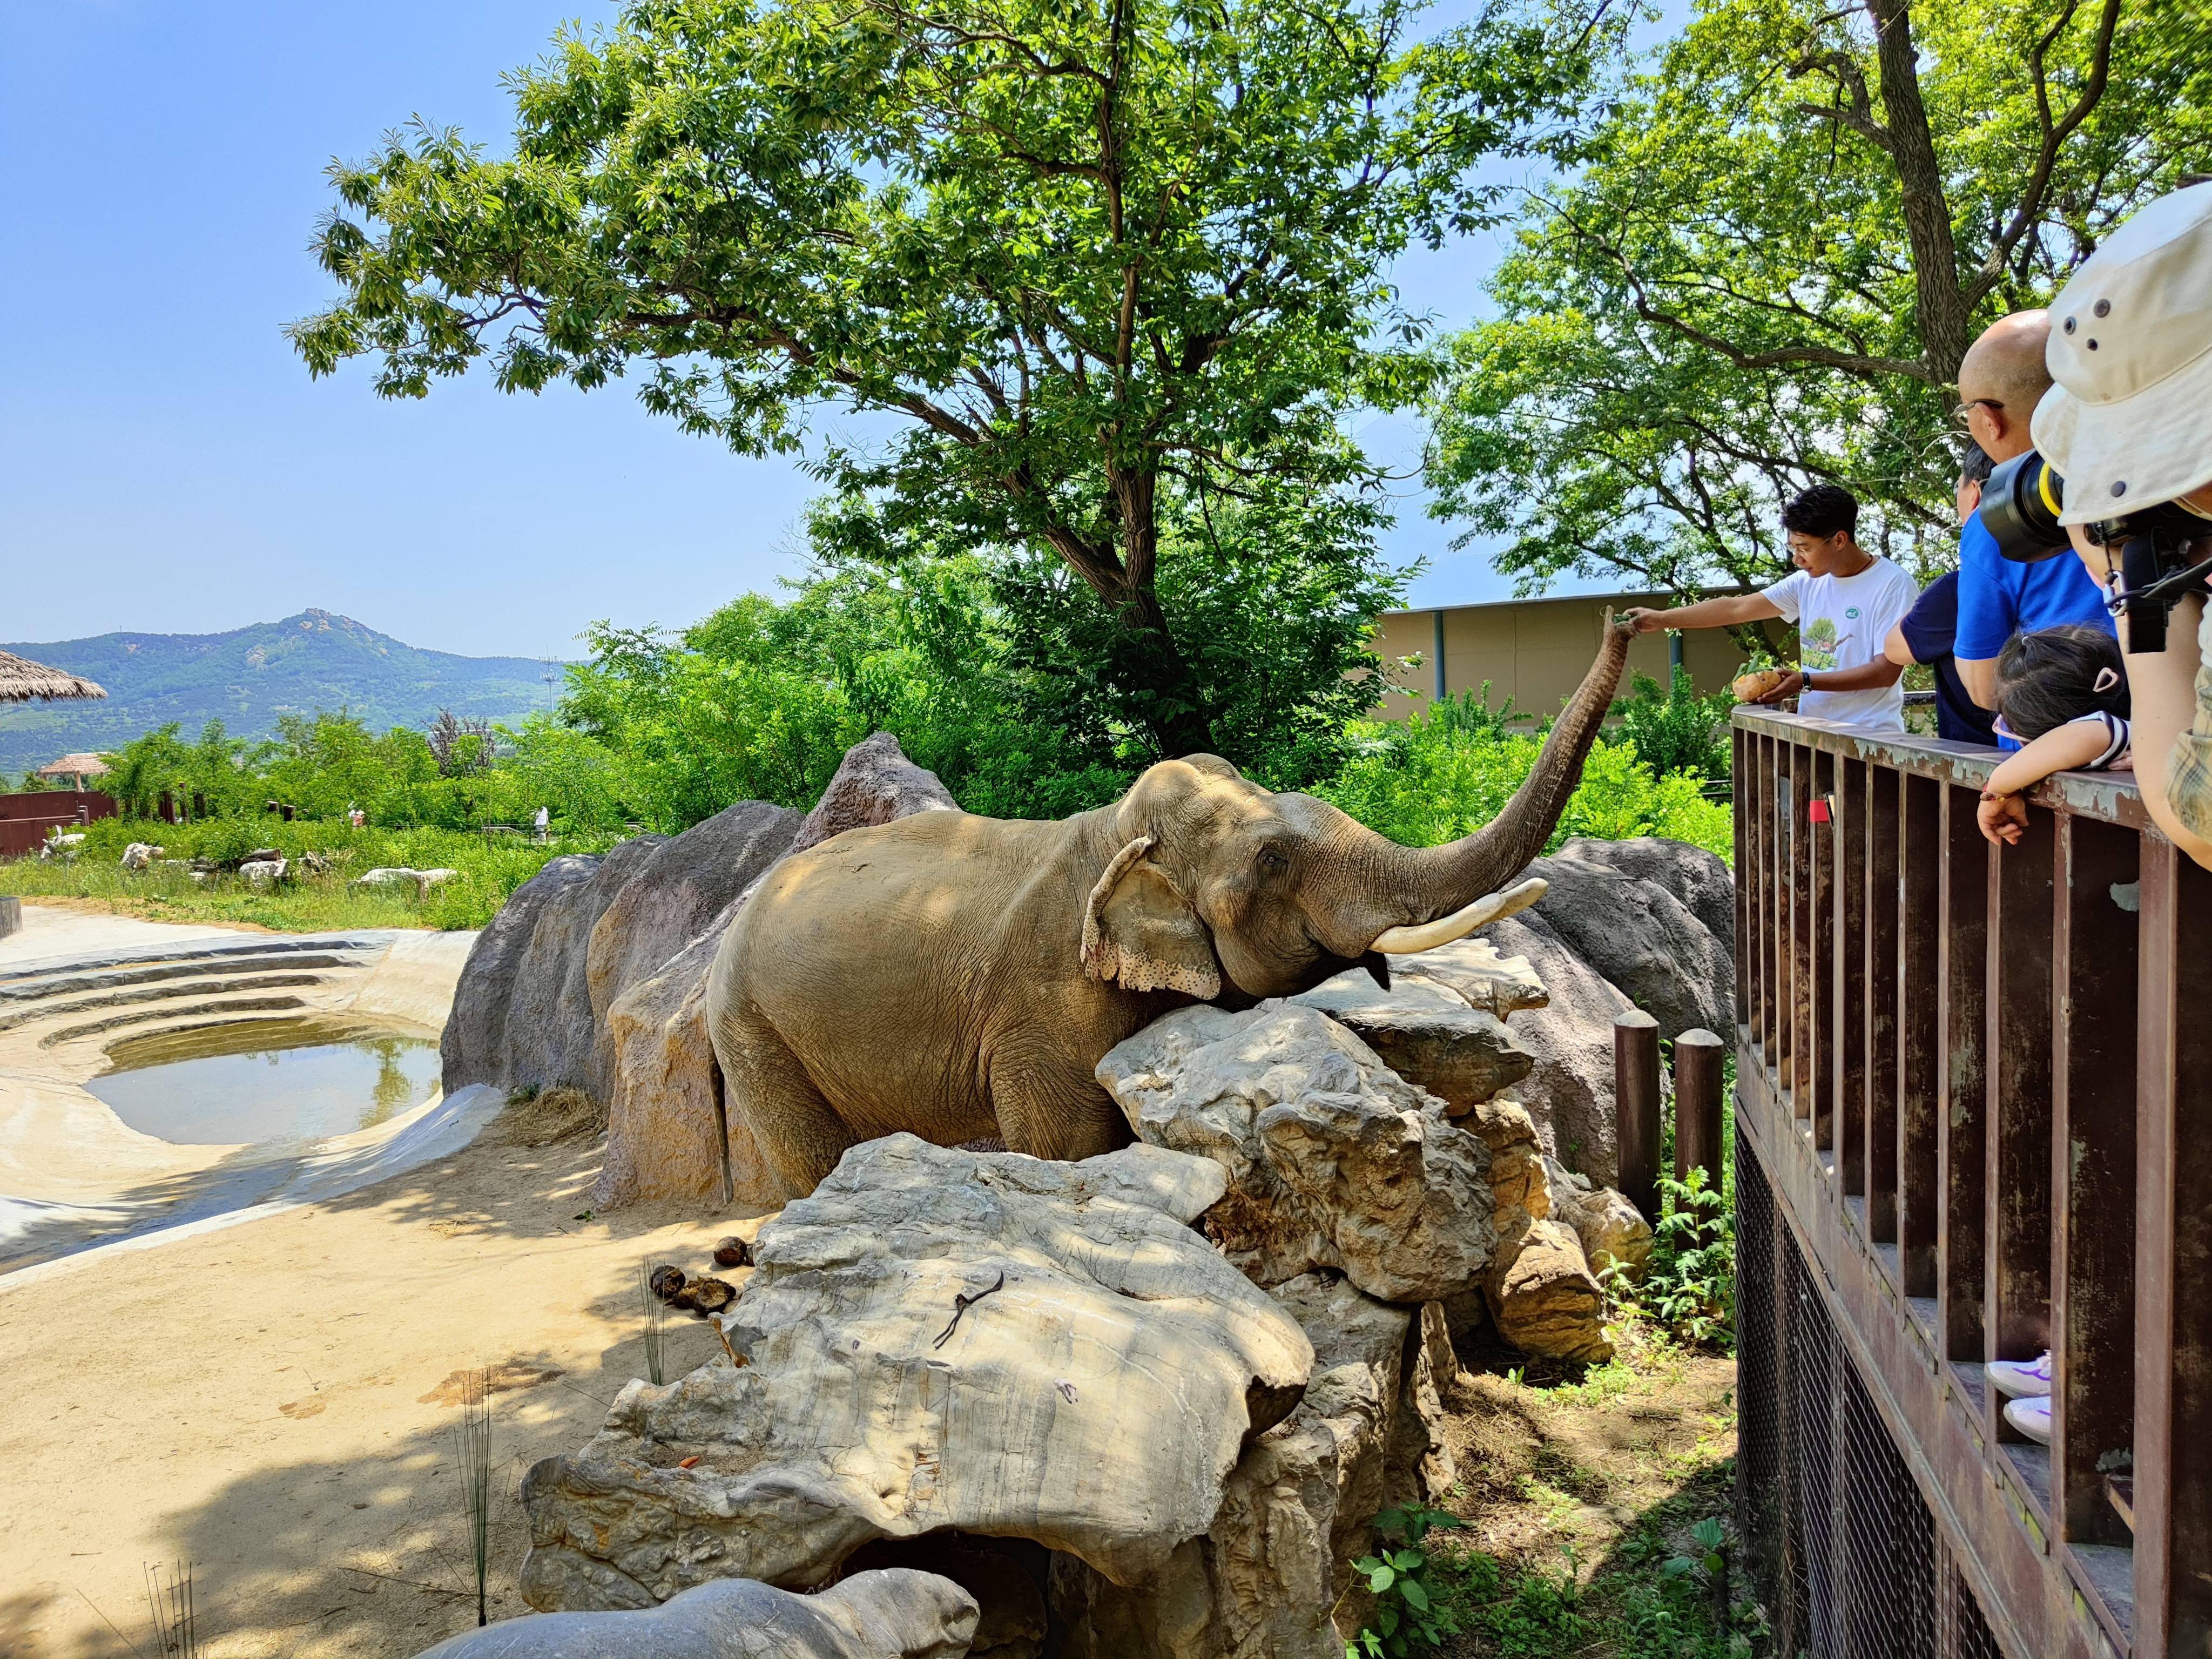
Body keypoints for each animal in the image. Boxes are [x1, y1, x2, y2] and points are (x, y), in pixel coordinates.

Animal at [712, 619, 1645, 1194]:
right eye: (1272, 861)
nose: (1629, 620)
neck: (1111, 835)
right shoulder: (1040, 1003)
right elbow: (1065, 1148)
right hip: (752, 1034)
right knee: (812, 1157)